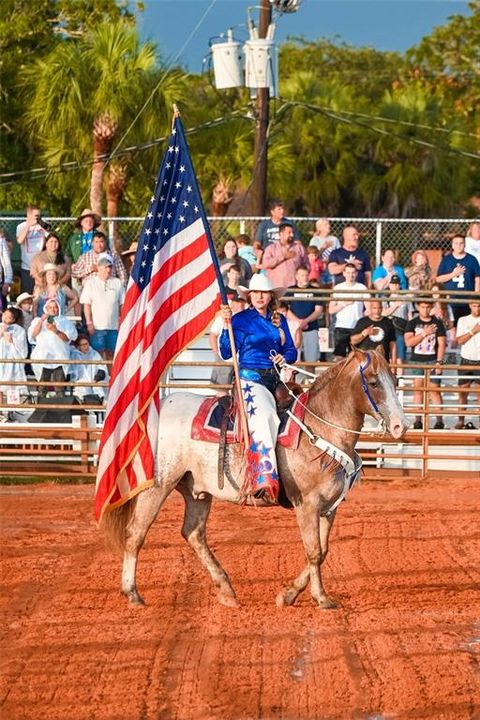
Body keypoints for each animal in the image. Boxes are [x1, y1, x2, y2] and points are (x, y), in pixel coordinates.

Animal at [102, 348, 408, 608]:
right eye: (373, 382)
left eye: (394, 380)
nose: (401, 426)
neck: (319, 428)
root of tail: (160, 407)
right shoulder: (307, 504)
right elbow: (313, 551)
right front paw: (321, 598)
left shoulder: (329, 508)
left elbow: (323, 551)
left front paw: (288, 594)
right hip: (158, 485)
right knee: (136, 533)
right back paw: (133, 593)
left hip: (196, 491)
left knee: (193, 534)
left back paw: (227, 590)